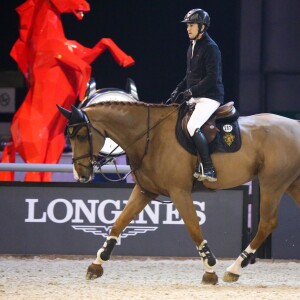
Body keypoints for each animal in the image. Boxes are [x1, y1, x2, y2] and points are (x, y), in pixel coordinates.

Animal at [0, 0, 134, 183]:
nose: (86, 5)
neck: (48, 36)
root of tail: (13, 136)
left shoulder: (82, 53)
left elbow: (104, 41)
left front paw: (126, 60)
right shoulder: (64, 57)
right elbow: (85, 67)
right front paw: (83, 89)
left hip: (53, 149)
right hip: (36, 149)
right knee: (32, 173)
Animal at [56, 92, 300, 284]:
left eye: (81, 135)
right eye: (70, 136)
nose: (81, 175)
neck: (150, 136)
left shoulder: (178, 191)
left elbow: (193, 228)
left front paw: (210, 270)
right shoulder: (145, 191)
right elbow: (118, 224)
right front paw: (96, 265)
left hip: (272, 183)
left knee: (267, 224)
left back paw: (234, 269)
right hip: (290, 184)